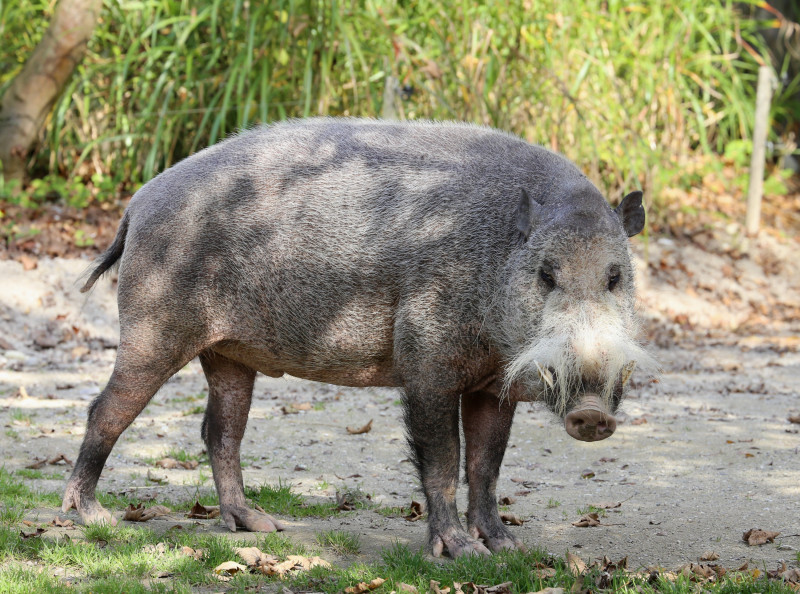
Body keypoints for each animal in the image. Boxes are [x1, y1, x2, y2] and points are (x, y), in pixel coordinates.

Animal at [63, 118, 656, 558]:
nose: (591, 414)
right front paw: (460, 554)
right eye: (546, 274)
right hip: (152, 328)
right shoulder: (425, 362)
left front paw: (509, 549)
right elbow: (444, 458)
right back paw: (94, 518)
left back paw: (259, 525)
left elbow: (487, 464)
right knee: (105, 410)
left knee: (220, 431)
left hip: (226, 353)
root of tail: (137, 205)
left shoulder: (493, 384)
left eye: (614, 276)